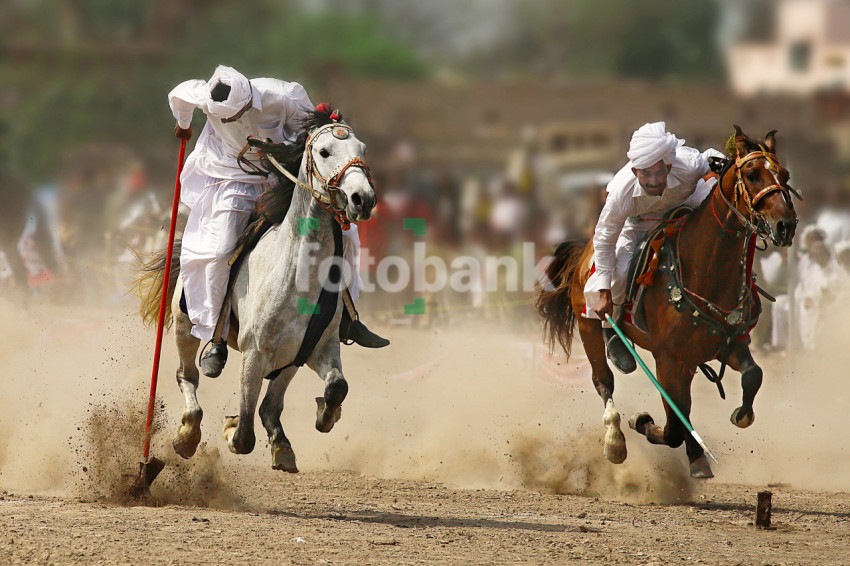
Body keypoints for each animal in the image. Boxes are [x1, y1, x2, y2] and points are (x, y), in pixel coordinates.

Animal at [536, 129, 796, 480]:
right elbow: (673, 425)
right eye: (753, 174)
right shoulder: (668, 359)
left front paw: (736, 417)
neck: (704, 274)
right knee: (604, 379)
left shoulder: (727, 345)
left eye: (785, 175)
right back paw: (615, 439)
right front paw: (641, 422)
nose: (786, 225)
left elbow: (752, 376)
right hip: (588, 321)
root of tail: (586, 249)